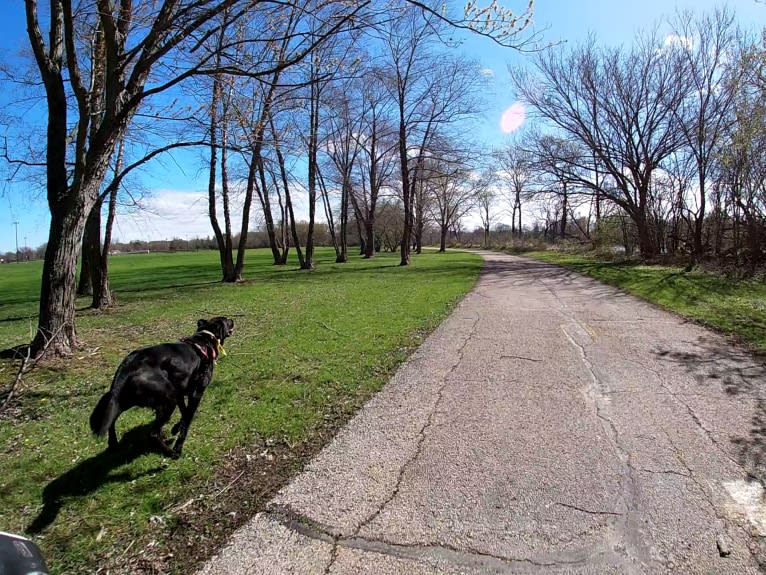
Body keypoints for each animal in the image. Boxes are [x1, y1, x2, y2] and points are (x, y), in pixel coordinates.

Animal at [89, 316, 234, 460]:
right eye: (226, 320)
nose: (232, 320)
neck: (205, 338)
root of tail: (128, 365)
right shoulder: (196, 393)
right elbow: (187, 418)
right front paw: (178, 443)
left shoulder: (180, 392)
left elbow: (184, 412)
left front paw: (176, 427)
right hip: (168, 401)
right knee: (153, 434)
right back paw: (172, 453)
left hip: (124, 399)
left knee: (111, 419)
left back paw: (113, 444)